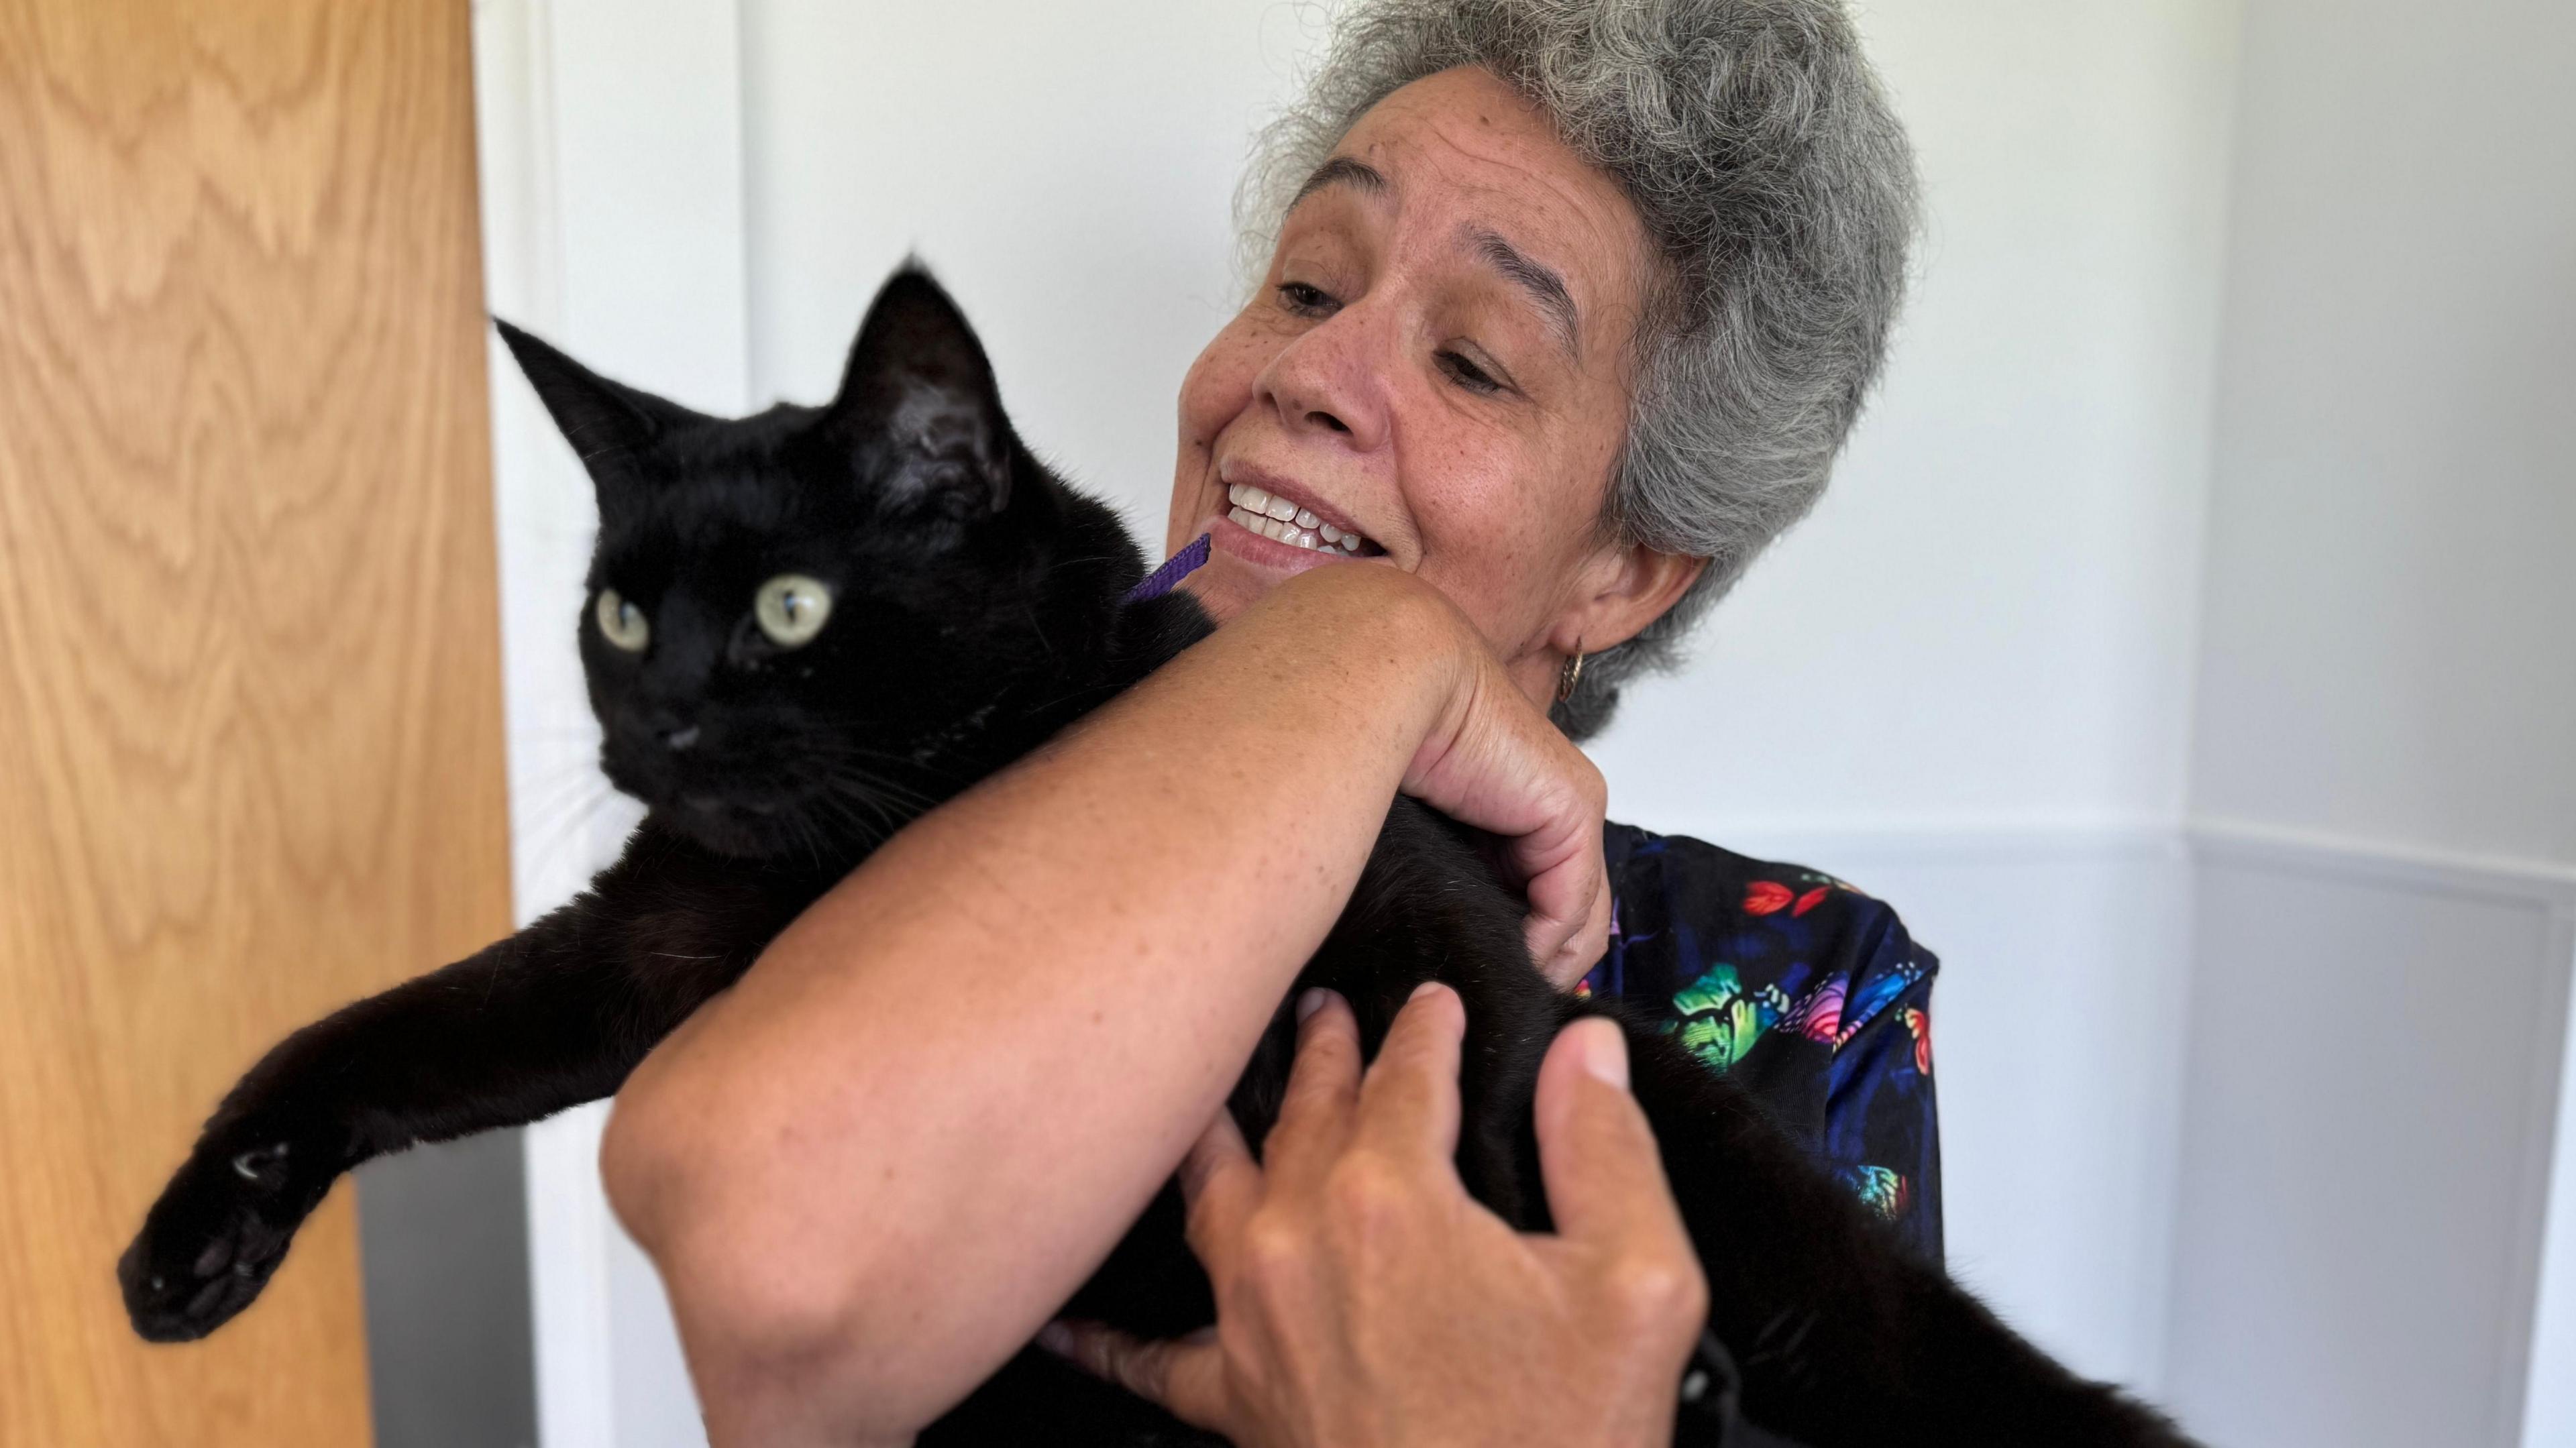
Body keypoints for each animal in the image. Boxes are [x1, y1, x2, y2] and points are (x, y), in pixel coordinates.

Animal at [125, 265, 2194, 1432]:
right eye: (623, 615)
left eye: (791, 607)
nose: (667, 723)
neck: (860, 845)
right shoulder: (650, 950)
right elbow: (389, 1030)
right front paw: (198, 1230)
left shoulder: (1433, 929)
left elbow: (1492, 1079)